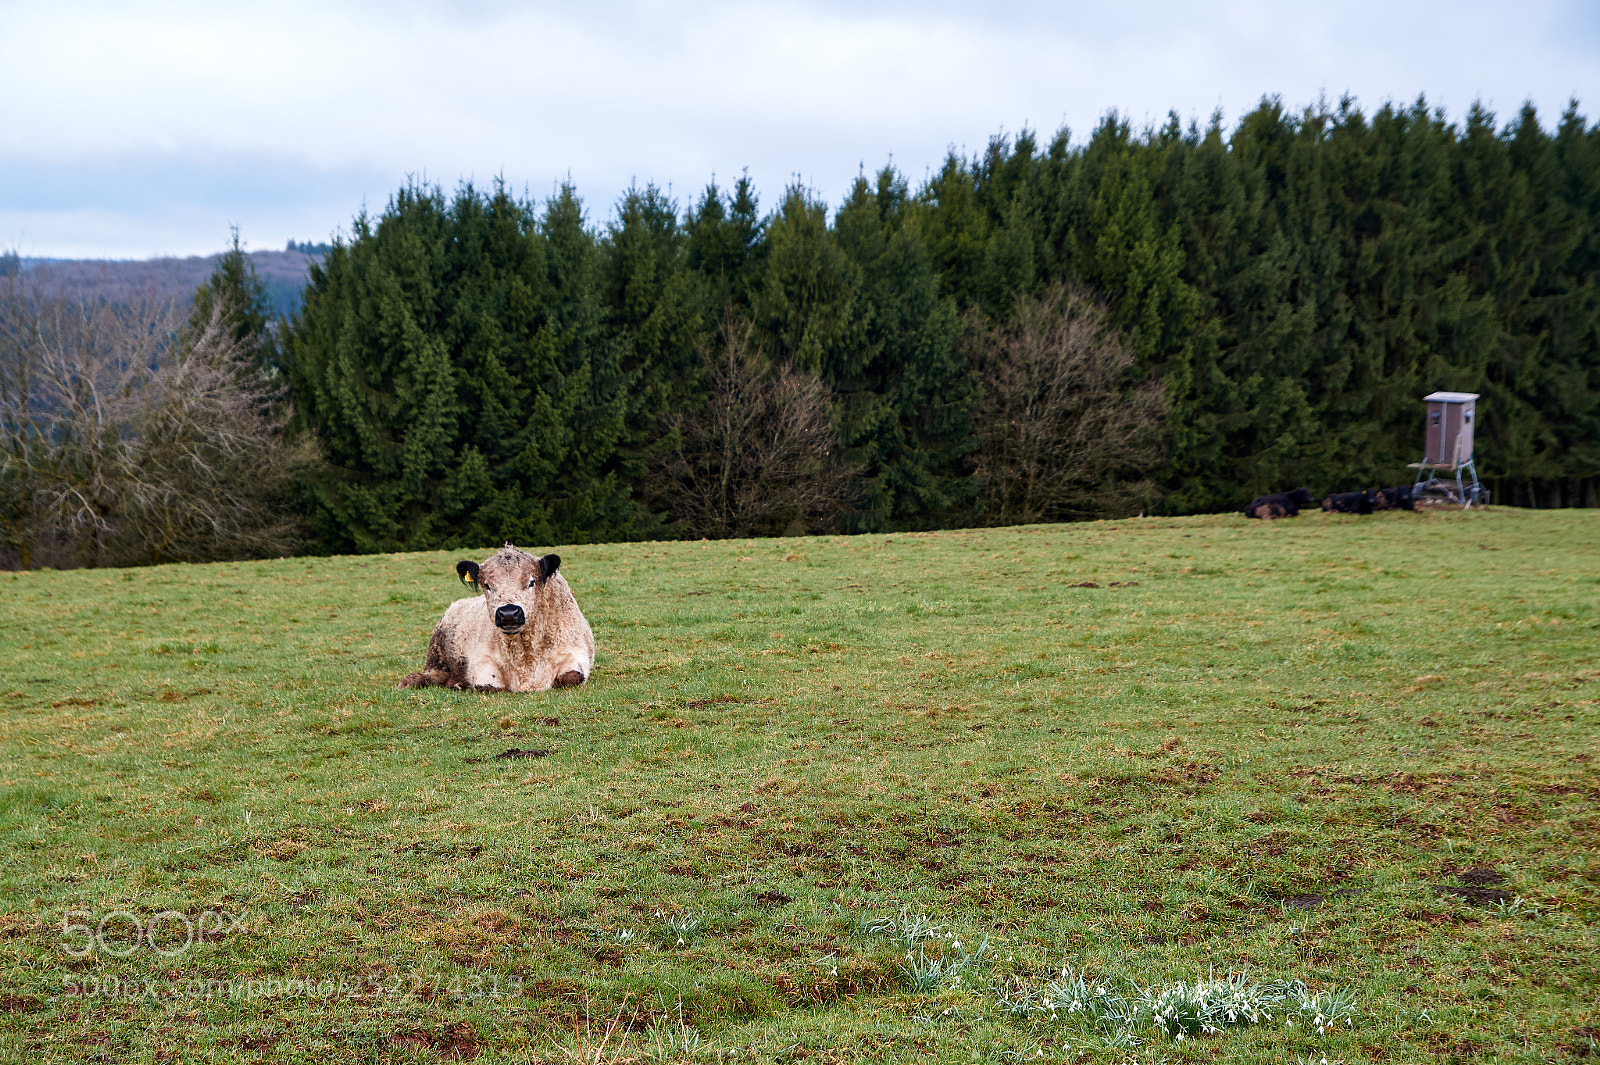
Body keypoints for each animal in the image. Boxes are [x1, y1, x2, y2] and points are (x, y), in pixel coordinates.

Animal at [396, 543, 598, 694]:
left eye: (531, 582)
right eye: (487, 585)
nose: (509, 613)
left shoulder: (576, 652)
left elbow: (572, 677)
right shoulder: (482, 660)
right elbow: (487, 684)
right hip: (436, 655)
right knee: (432, 675)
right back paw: (409, 681)